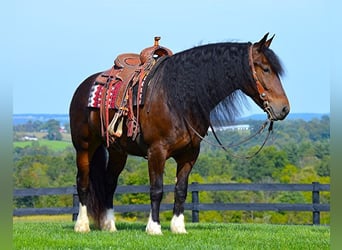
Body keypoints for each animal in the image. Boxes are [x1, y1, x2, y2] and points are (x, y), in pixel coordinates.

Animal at [69, 33, 288, 234]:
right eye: (265, 68)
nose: (284, 108)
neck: (177, 98)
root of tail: (84, 86)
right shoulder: (157, 152)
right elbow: (157, 189)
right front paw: (154, 227)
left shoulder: (189, 154)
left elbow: (181, 190)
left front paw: (178, 227)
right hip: (84, 147)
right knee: (83, 183)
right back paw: (82, 225)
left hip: (117, 151)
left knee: (109, 182)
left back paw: (109, 225)